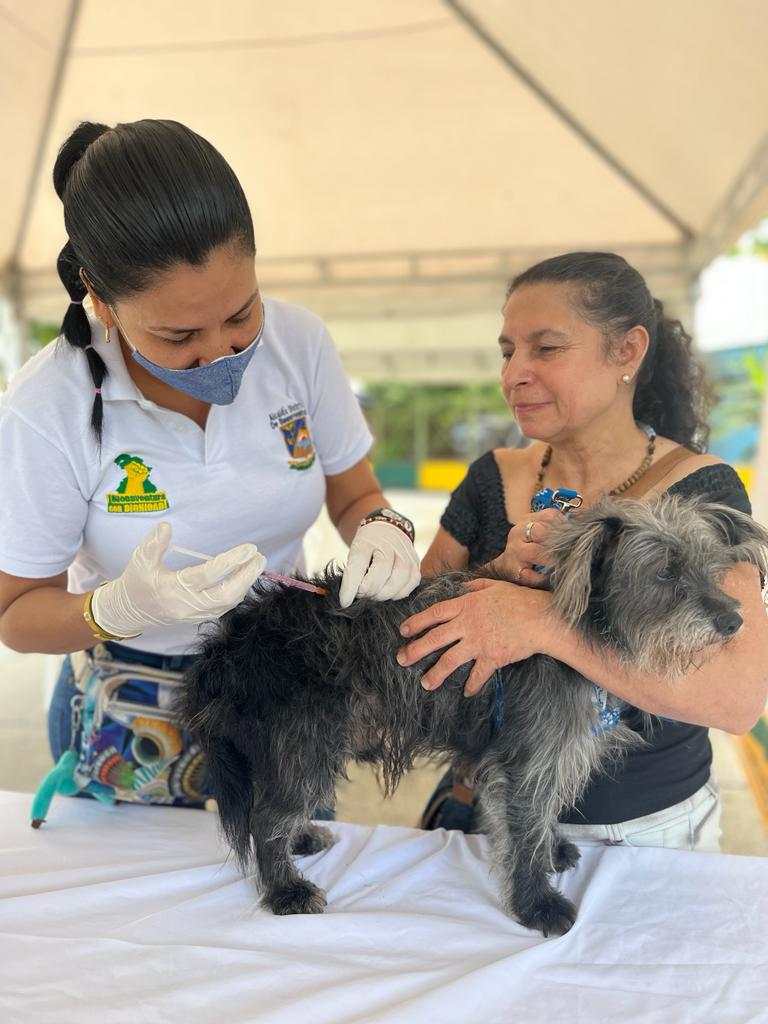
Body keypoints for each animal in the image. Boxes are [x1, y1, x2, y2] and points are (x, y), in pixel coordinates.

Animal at [179, 495, 768, 937]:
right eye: (665, 572)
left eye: (712, 568)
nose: (735, 621)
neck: (578, 625)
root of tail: (232, 639)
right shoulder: (532, 757)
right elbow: (524, 827)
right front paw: (535, 903)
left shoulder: (527, 755)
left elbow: (534, 819)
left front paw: (551, 852)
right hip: (304, 746)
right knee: (264, 819)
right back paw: (285, 888)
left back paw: (299, 841)